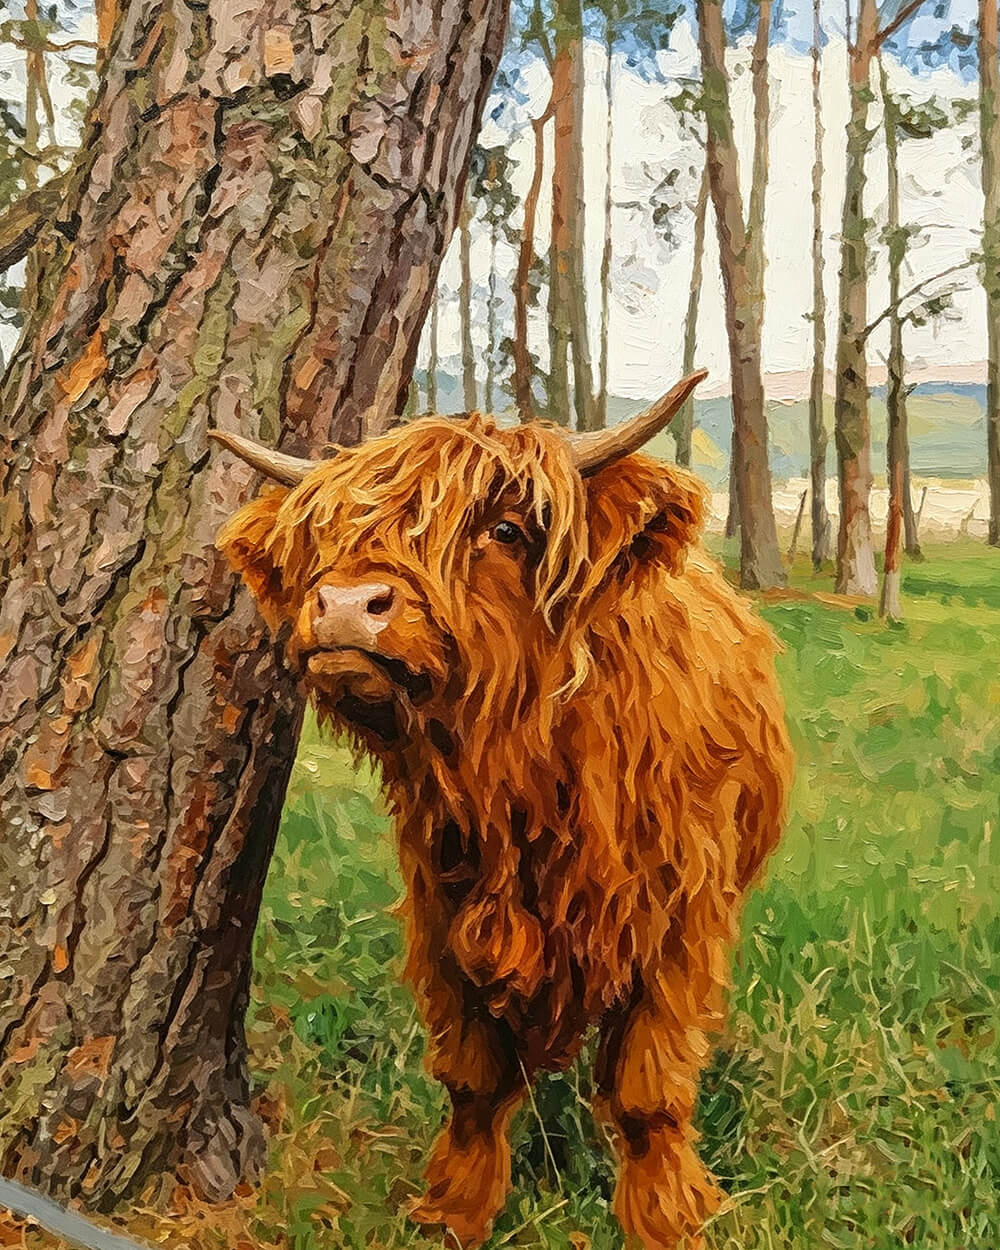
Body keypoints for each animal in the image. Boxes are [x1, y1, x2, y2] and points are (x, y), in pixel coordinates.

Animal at [212, 372, 793, 1250]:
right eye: (326, 538)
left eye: (506, 529)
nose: (345, 604)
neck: (524, 775)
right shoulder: (445, 910)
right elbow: (474, 1079)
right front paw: (455, 1209)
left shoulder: (679, 923)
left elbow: (648, 1089)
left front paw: (668, 1217)